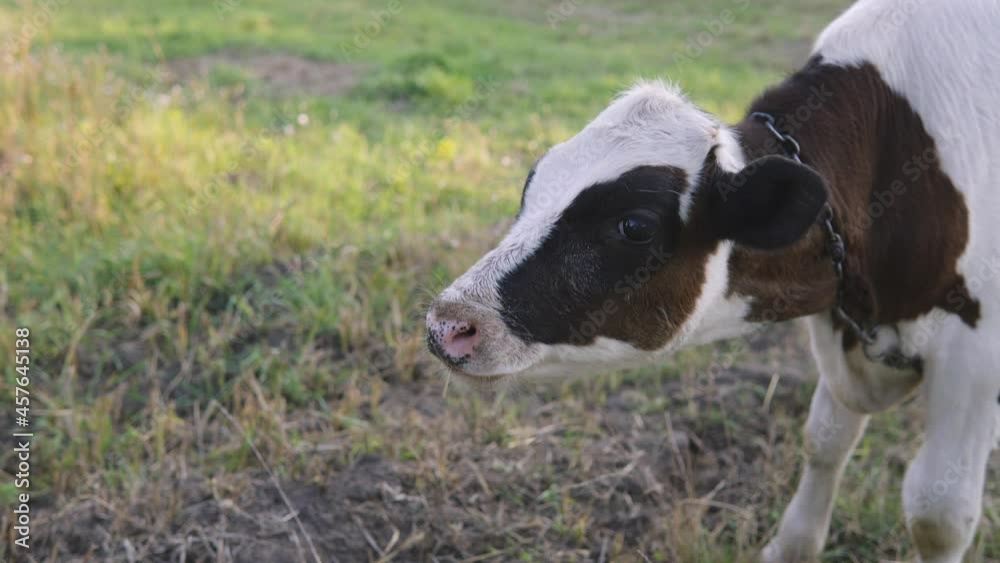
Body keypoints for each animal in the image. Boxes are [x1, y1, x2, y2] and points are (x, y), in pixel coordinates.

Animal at [425, 0, 1000, 560]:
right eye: (533, 185)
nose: (450, 324)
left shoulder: (974, 351)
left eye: (635, 225)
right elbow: (825, 441)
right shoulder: (844, 325)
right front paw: (790, 547)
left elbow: (938, 515)